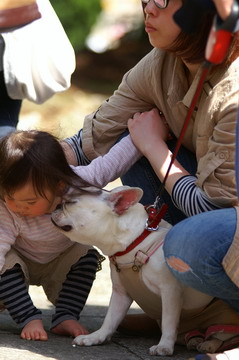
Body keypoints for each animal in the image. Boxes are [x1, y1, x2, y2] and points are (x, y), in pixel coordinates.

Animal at [51, 187, 236, 356]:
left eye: (71, 202)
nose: (56, 205)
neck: (135, 243)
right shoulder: (120, 293)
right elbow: (110, 318)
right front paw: (96, 337)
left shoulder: (170, 291)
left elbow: (169, 320)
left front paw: (164, 346)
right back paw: (196, 340)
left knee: (224, 337)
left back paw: (209, 345)